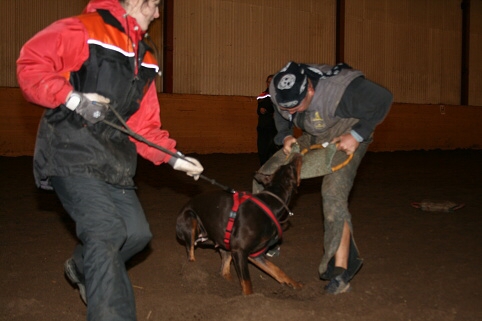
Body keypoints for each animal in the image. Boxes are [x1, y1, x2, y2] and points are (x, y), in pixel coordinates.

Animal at [175, 154, 304, 294]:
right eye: (290, 167)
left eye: (285, 166)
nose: (297, 155)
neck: (270, 205)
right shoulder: (240, 251)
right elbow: (247, 283)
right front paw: (249, 298)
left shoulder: (254, 254)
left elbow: (276, 270)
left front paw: (295, 284)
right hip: (190, 220)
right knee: (191, 255)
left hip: (225, 245)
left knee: (224, 271)